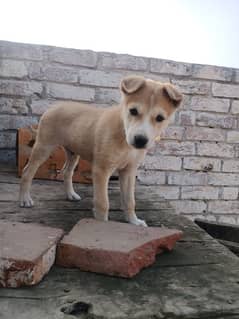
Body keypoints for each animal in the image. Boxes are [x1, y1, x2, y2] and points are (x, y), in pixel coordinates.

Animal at [19, 76, 183, 228]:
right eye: (133, 111)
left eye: (160, 118)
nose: (140, 140)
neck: (123, 134)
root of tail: (53, 106)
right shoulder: (101, 170)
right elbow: (103, 203)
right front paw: (102, 227)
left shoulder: (129, 171)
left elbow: (130, 200)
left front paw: (133, 221)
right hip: (44, 147)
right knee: (27, 172)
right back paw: (25, 199)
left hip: (73, 153)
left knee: (66, 172)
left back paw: (71, 195)